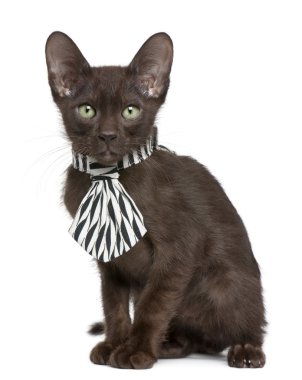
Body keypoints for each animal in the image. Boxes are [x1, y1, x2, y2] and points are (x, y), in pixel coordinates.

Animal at [45, 31, 266, 370]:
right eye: (86, 110)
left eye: (130, 111)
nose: (107, 135)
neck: (110, 176)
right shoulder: (109, 259)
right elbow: (113, 304)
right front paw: (114, 344)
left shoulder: (180, 248)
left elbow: (153, 305)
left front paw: (135, 351)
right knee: (193, 340)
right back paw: (167, 346)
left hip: (227, 285)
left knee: (245, 323)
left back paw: (245, 349)